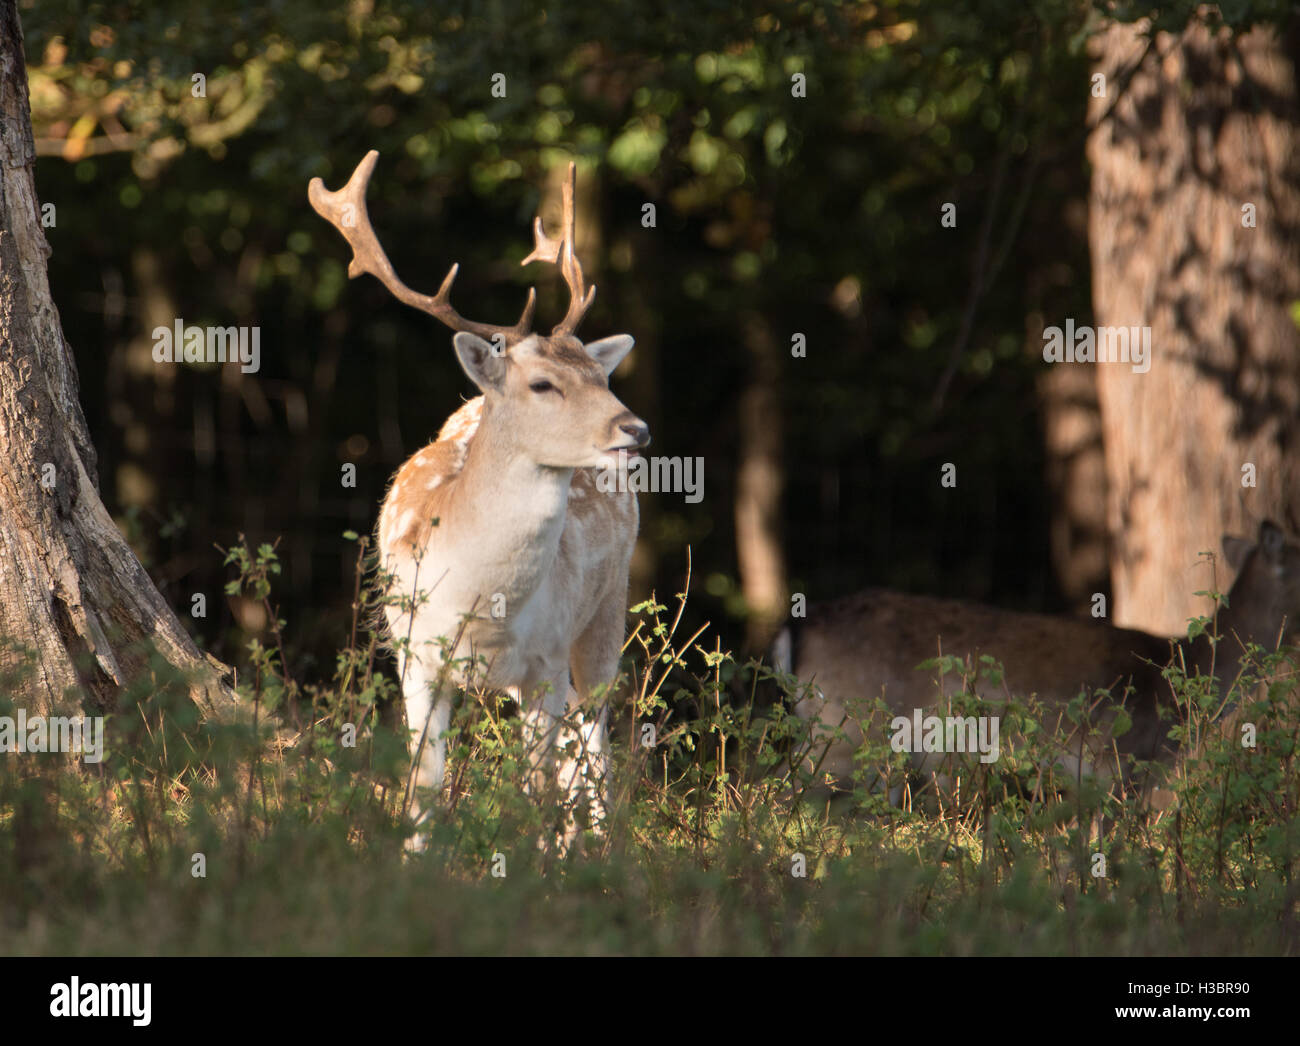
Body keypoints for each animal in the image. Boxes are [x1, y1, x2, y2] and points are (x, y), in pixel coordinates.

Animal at [309, 153, 644, 841]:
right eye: (542, 384)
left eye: (599, 377)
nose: (636, 429)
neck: (481, 606)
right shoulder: (414, 659)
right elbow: (424, 790)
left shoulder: (544, 660)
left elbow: (534, 792)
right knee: (579, 742)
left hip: (607, 605)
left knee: (594, 738)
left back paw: (603, 846)